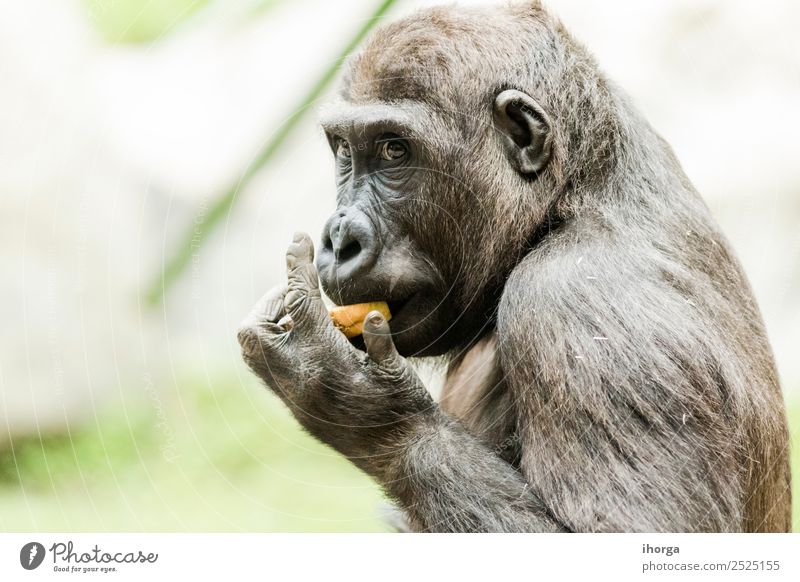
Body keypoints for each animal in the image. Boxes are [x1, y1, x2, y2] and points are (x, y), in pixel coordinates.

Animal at [236, 1, 788, 532]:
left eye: (394, 149)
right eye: (345, 151)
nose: (339, 238)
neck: (572, 193)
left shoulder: (575, 304)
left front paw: (358, 400)